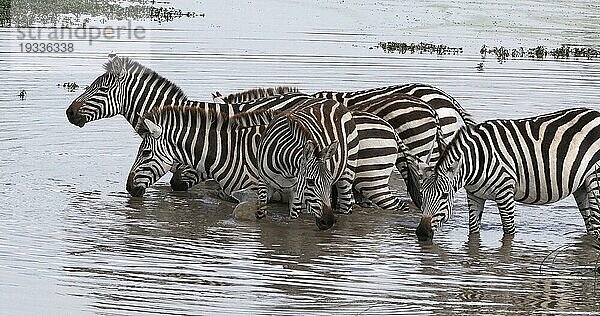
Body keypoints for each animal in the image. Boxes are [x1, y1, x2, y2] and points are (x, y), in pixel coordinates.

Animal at [255, 99, 358, 230]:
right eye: (310, 182)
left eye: (330, 182)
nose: (328, 221)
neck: (284, 170)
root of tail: (334, 101)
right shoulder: (263, 182)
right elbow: (261, 213)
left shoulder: (296, 190)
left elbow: (293, 217)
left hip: (348, 173)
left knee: (346, 207)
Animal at [414, 108, 600, 242]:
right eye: (422, 195)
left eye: (445, 196)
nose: (422, 233)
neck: (478, 160)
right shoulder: (474, 195)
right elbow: (473, 231)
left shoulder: (505, 193)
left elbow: (509, 232)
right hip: (582, 186)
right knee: (591, 226)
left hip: (595, 181)